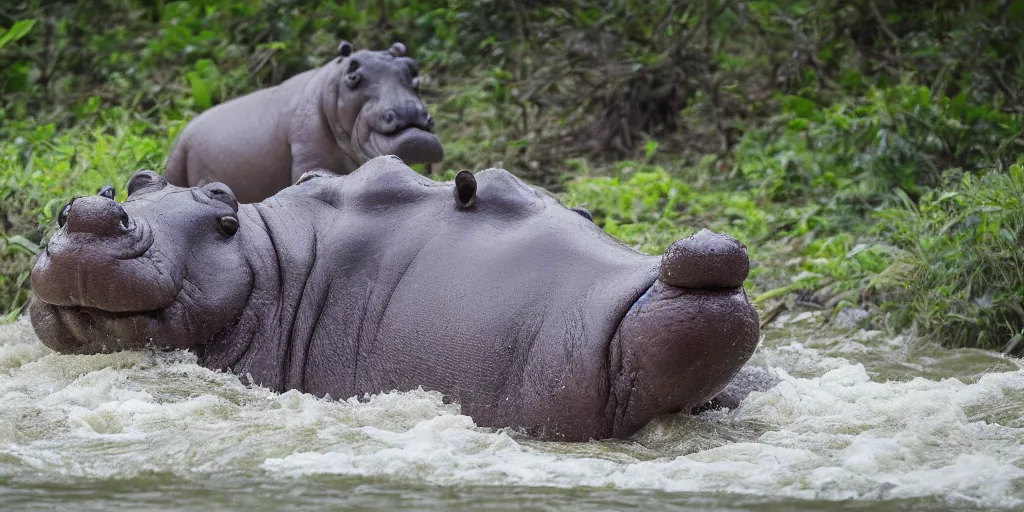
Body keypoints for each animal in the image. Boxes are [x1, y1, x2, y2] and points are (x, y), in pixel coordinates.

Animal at [164, 40, 444, 203]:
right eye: (352, 76)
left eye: (413, 68)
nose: (408, 113)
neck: (330, 87)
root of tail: (183, 133)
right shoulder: (310, 156)